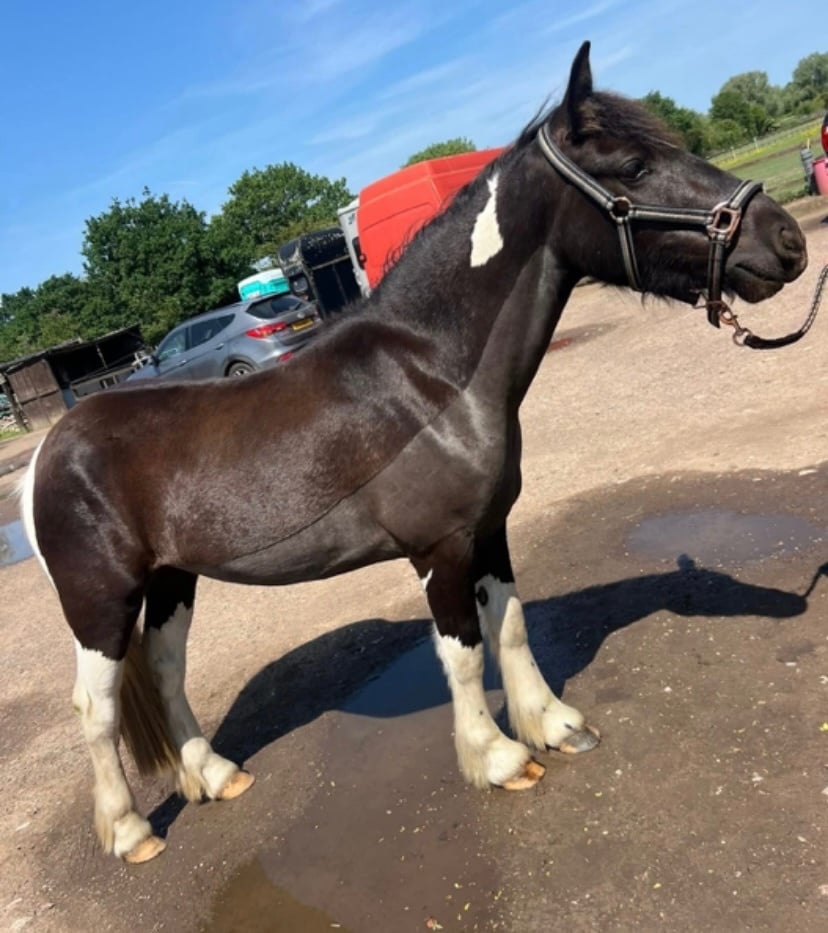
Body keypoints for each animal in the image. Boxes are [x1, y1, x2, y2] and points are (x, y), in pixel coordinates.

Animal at [19, 42, 807, 863]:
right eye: (633, 166)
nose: (786, 240)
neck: (430, 371)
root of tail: (49, 449)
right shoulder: (440, 547)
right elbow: (462, 651)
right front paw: (498, 757)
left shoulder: (488, 530)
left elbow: (510, 626)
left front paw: (554, 724)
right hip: (101, 601)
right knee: (96, 707)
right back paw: (131, 831)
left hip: (173, 581)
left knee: (169, 672)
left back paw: (216, 774)